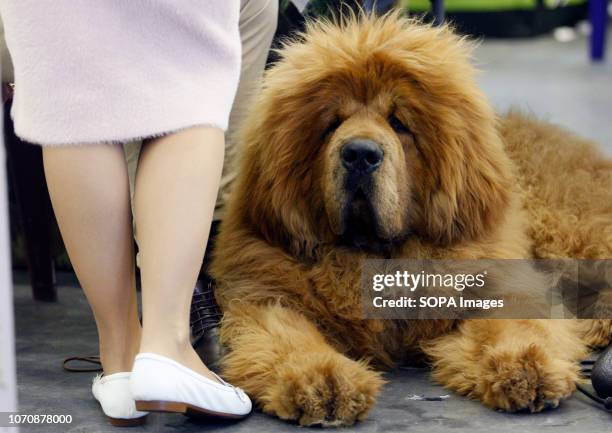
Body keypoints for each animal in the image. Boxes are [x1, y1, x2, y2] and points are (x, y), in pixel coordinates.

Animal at [210, 12, 612, 426]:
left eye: (398, 123)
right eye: (332, 124)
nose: (359, 154)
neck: (379, 256)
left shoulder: (499, 278)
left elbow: (517, 322)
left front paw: (525, 366)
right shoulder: (267, 296)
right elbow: (289, 338)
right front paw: (322, 380)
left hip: (563, 229)